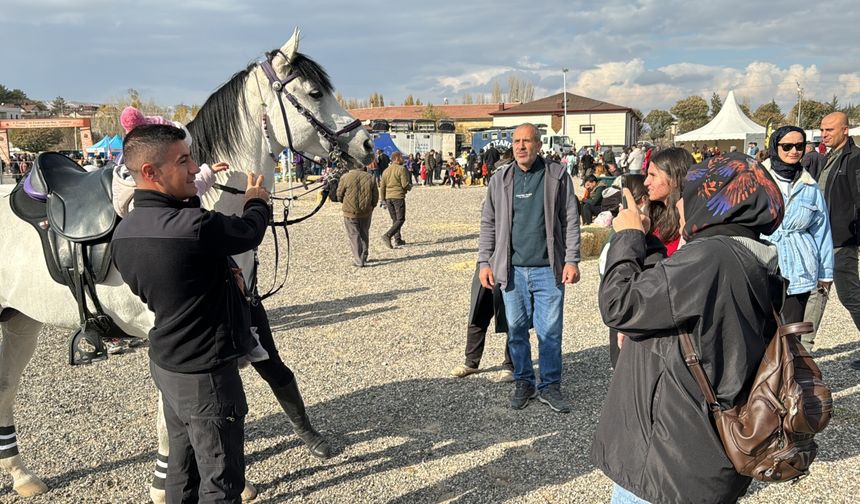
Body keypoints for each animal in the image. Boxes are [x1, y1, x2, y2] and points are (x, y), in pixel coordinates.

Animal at [0, 29, 372, 498]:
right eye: (315, 92)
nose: (367, 144)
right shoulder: (166, 337)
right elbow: (171, 417)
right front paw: (166, 485)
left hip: (18, 321)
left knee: (4, 390)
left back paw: (21, 476)